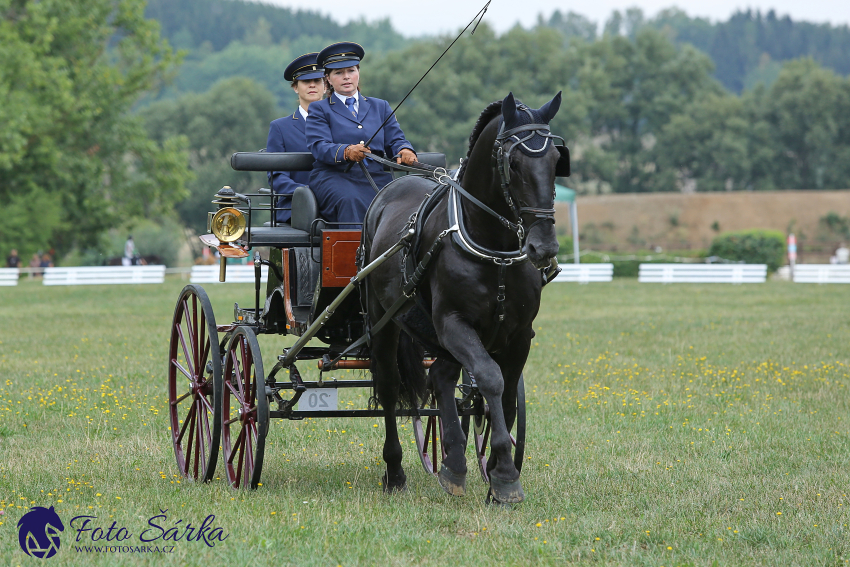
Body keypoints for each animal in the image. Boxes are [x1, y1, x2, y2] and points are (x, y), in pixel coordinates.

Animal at [362, 93, 564, 506]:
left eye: (556, 159)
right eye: (513, 163)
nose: (544, 247)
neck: (494, 247)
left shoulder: (519, 334)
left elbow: (505, 394)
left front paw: (498, 472)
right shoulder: (453, 323)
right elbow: (489, 378)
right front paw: (505, 475)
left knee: (441, 377)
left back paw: (453, 462)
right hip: (385, 319)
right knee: (390, 385)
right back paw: (395, 471)